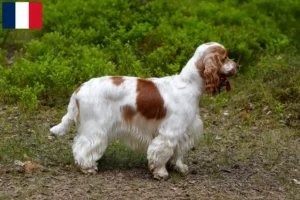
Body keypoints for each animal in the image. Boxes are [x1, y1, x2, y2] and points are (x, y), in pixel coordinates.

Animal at [51, 42, 239, 180]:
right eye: (225, 57)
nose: (237, 65)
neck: (189, 83)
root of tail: (79, 89)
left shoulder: (184, 130)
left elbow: (178, 152)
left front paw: (179, 167)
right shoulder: (170, 131)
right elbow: (161, 152)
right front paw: (161, 172)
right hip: (95, 126)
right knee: (82, 146)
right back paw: (87, 167)